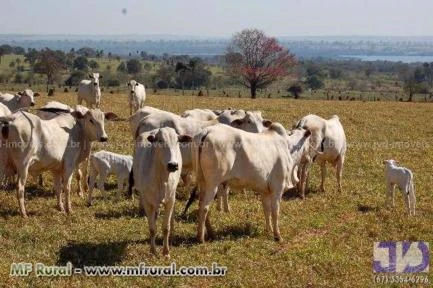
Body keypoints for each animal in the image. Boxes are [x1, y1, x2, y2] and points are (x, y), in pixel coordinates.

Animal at [126, 127, 191, 258]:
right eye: (160, 141)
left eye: (177, 140)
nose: (173, 165)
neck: (161, 178)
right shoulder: (147, 202)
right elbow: (152, 229)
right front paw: (153, 251)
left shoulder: (170, 200)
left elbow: (166, 227)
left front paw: (166, 252)